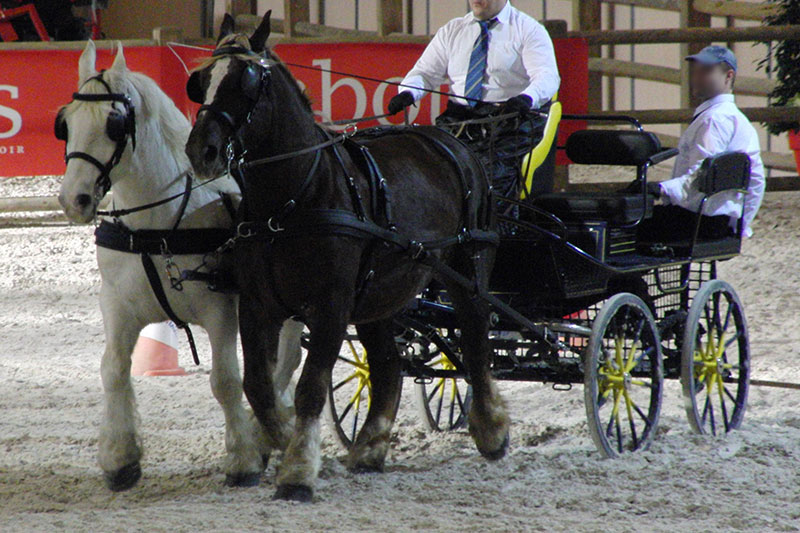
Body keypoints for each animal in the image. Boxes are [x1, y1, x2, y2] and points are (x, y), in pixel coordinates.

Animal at [56, 40, 303, 491]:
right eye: (65, 123)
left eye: (114, 124)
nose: (73, 200)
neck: (157, 225)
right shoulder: (117, 306)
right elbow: (113, 370)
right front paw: (120, 458)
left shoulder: (220, 310)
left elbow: (226, 380)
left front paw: (242, 459)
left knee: (288, 358)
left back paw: (268, 433)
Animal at [185, 12, 507, 502]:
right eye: (201, 81)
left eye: (247, 80)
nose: (201, 150)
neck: (291, 200)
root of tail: (454, 143)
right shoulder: (257, 306)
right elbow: (258, 386)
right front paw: (278, 442)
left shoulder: (330, 307)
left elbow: (310, 388)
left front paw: (297, 470)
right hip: (379, 297)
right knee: (389, 366)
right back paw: (370, 449)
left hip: (467, 269)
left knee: (474, 339)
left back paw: (491, 431)